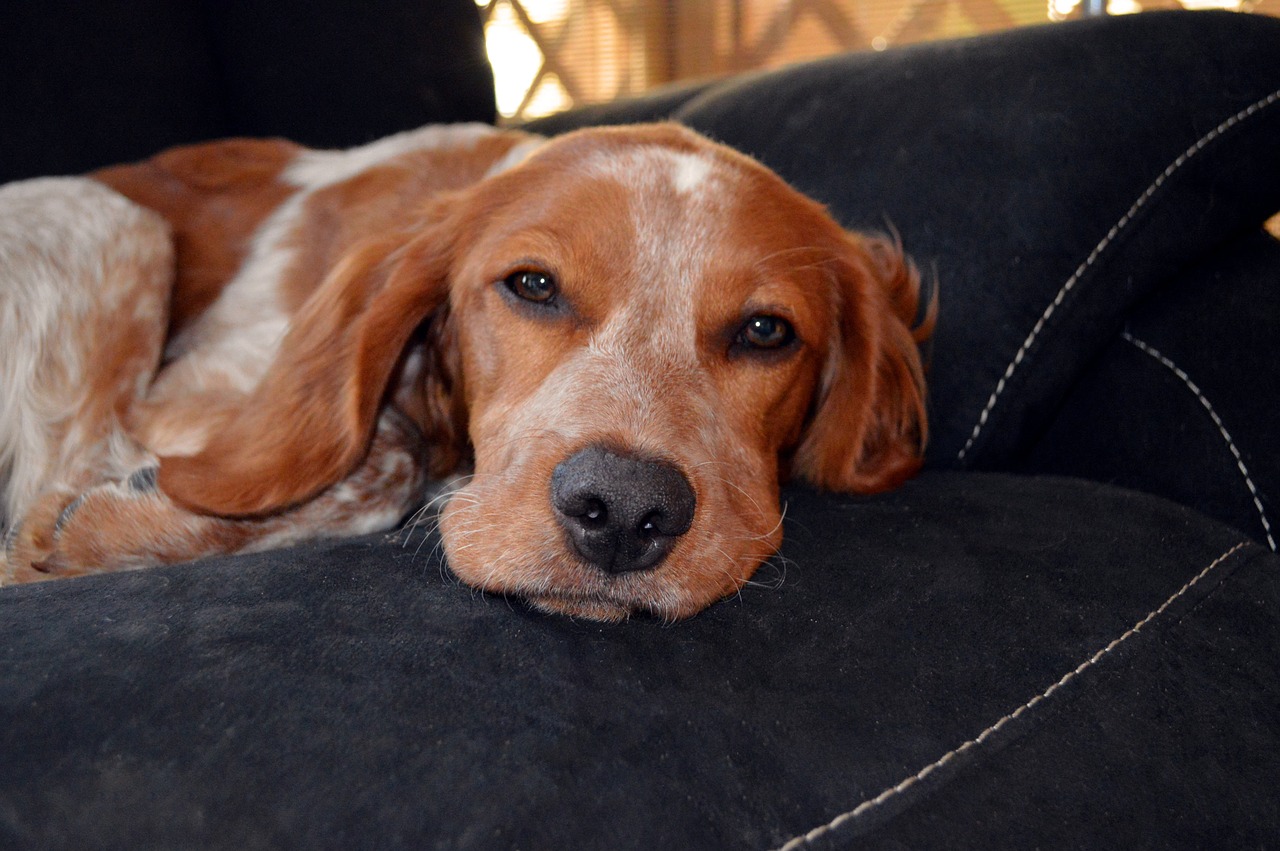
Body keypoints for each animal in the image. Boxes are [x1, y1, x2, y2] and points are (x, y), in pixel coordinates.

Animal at [0, 120, 931, 616]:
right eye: (533, 285)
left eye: (766, 331)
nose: (625, 510)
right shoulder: (187, 398)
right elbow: (374, 460)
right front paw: (108, 522)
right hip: (114, 221)